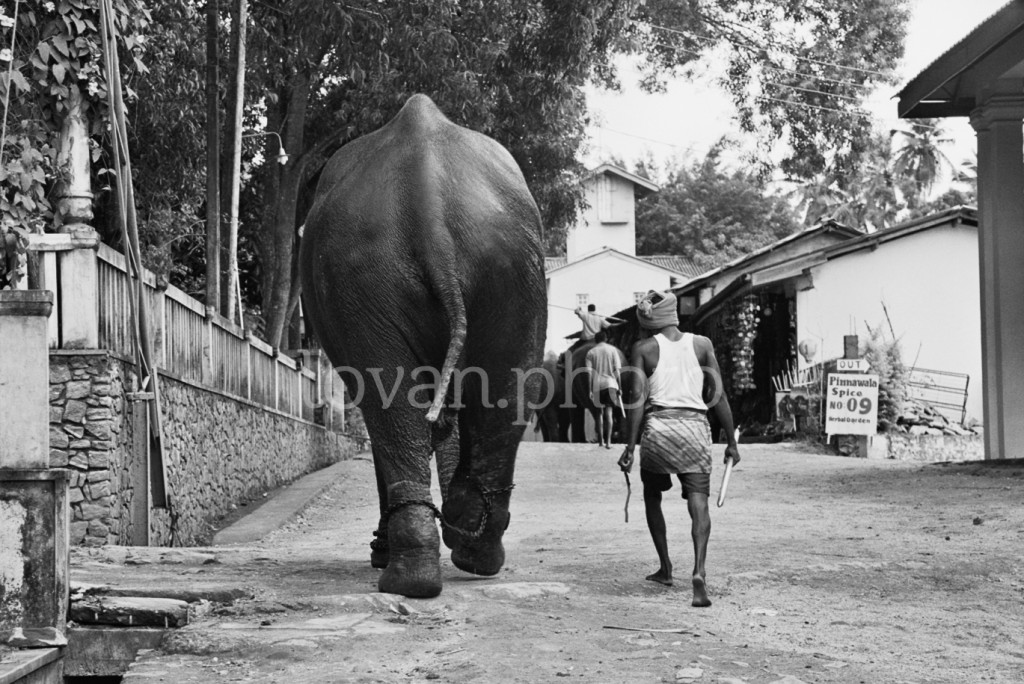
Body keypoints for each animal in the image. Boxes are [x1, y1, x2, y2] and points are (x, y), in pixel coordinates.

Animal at [299, 94, 547, 598]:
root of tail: (427, 197)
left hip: (363, 278)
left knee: (386, 398)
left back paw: (405, 575)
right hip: (511, 267)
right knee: (509, 387)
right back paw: (469, 547)